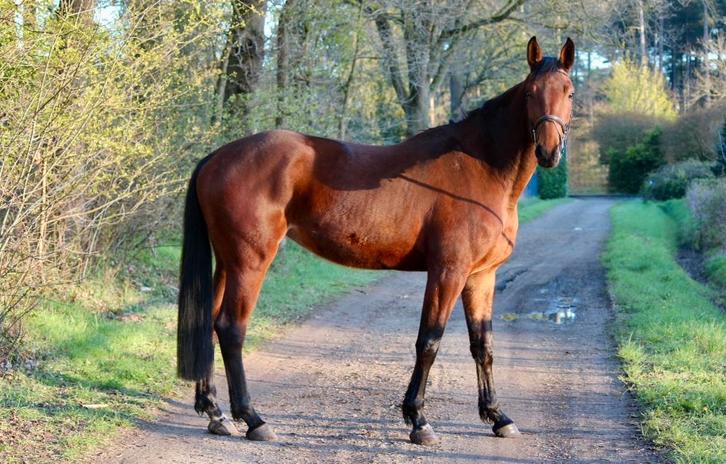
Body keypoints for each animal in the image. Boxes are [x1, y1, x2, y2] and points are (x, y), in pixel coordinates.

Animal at [177, 36, 575, 446]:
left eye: (569, 92)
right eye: (530, 93)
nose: (549, 151)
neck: (479, 167)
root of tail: (217, 156)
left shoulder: (482, 276)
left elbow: (483, 345)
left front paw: (497, 417)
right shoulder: (448, 272)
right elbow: (429, 341)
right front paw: (418, 420)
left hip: (227, 262)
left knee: (208, 325)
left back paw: (216, 413)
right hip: (250, 262)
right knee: (231, 329)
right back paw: (253, 418)